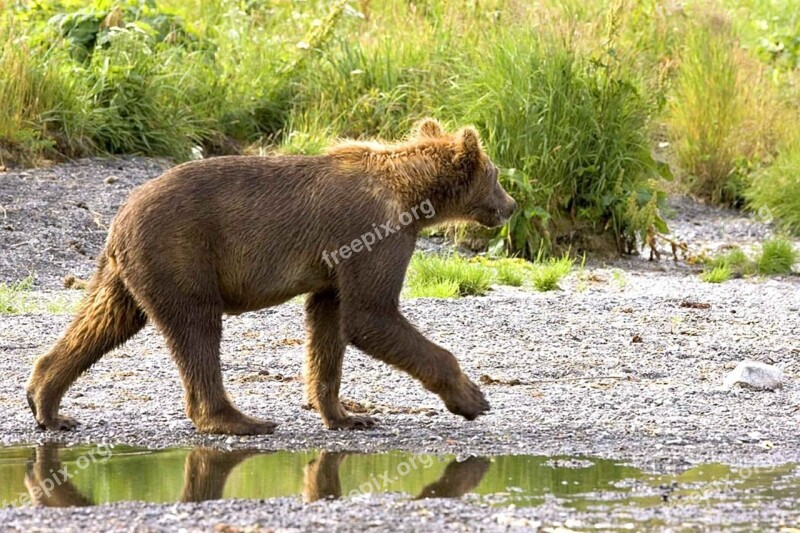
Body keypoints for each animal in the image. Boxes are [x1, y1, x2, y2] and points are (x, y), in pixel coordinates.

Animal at [26, 118, 520, 434]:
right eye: (497, 173)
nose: (512, 205)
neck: (413, 195)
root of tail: (119, 216)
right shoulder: (374, 233)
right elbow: (371, 315)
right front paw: (473, 398)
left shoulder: (337, 262)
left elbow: (329, 324)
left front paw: (347, 414)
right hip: (181, 252)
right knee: (196, 329)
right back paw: (238, 420)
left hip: (126, 270)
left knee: (103, 320)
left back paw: (47, 402)